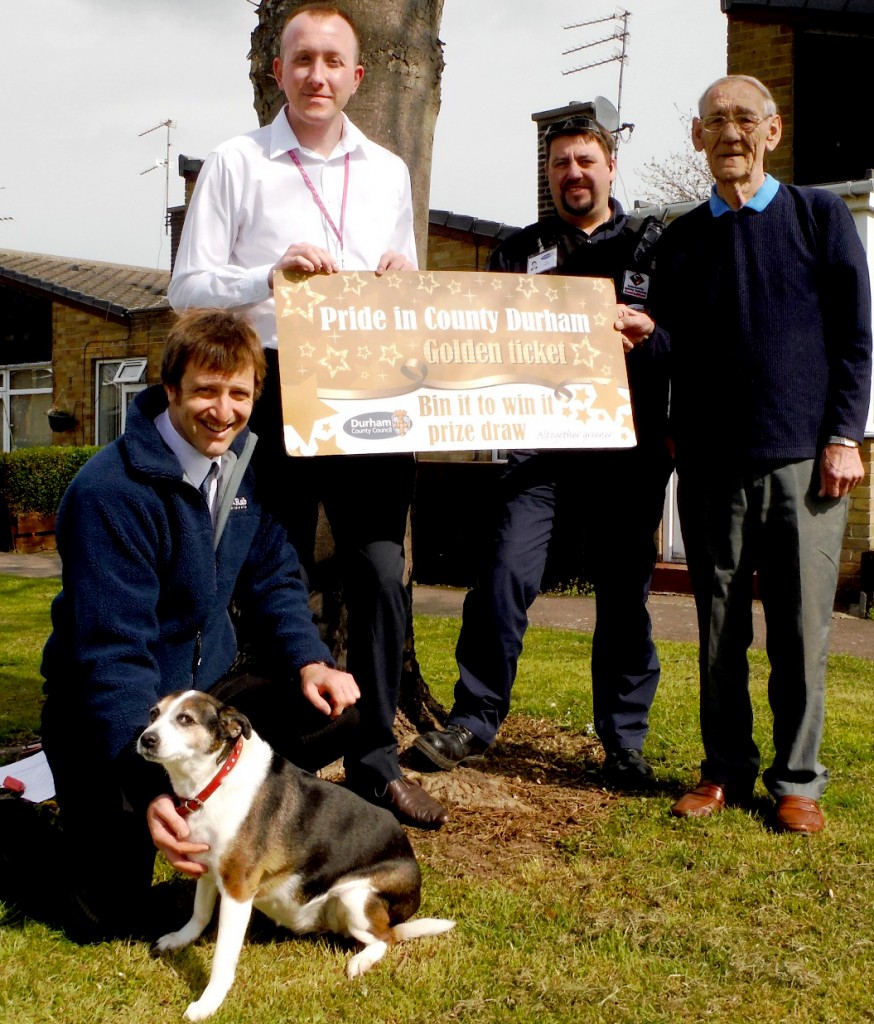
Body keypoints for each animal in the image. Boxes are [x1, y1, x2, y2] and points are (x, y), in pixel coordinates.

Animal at [137, 692, 458, 1019]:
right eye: (153, 714)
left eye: (185, 719)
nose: (146, 739)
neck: (217, 778)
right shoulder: (206, 867)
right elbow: (199, 915)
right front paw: (180, 940)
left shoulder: (238, 889)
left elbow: (222, 958)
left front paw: (208, 1002)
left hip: (355, 897)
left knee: (387, 939)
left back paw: (361, 961)